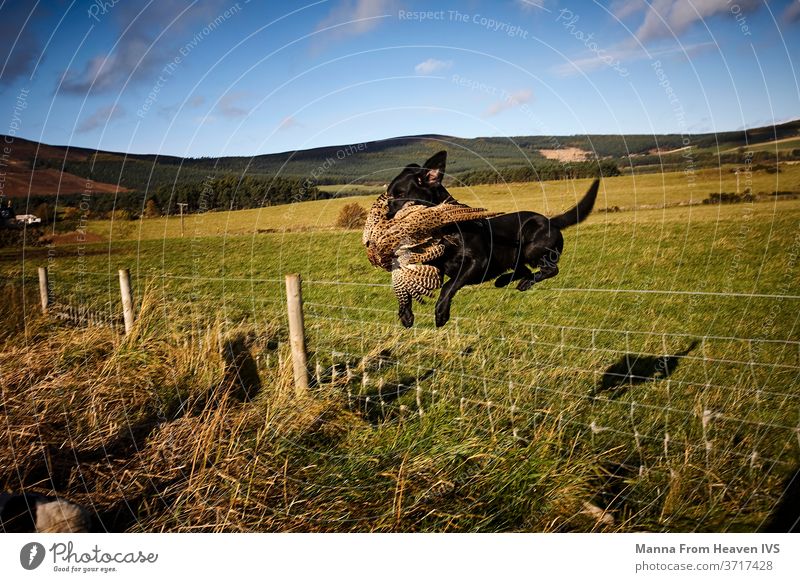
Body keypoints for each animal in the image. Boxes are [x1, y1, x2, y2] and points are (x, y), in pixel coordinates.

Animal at [388, 152, 600, 328]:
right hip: (516, 256)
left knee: (551, 269)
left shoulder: (477, 262)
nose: (387, 220)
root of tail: (551, 221)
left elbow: (449, 285)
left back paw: (523, 282)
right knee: (524, 270)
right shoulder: (434, 269)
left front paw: (441, 313)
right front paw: (405, 314)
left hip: (531, 247)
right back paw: (505, 280)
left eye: (400, 194)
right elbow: (407, 287)